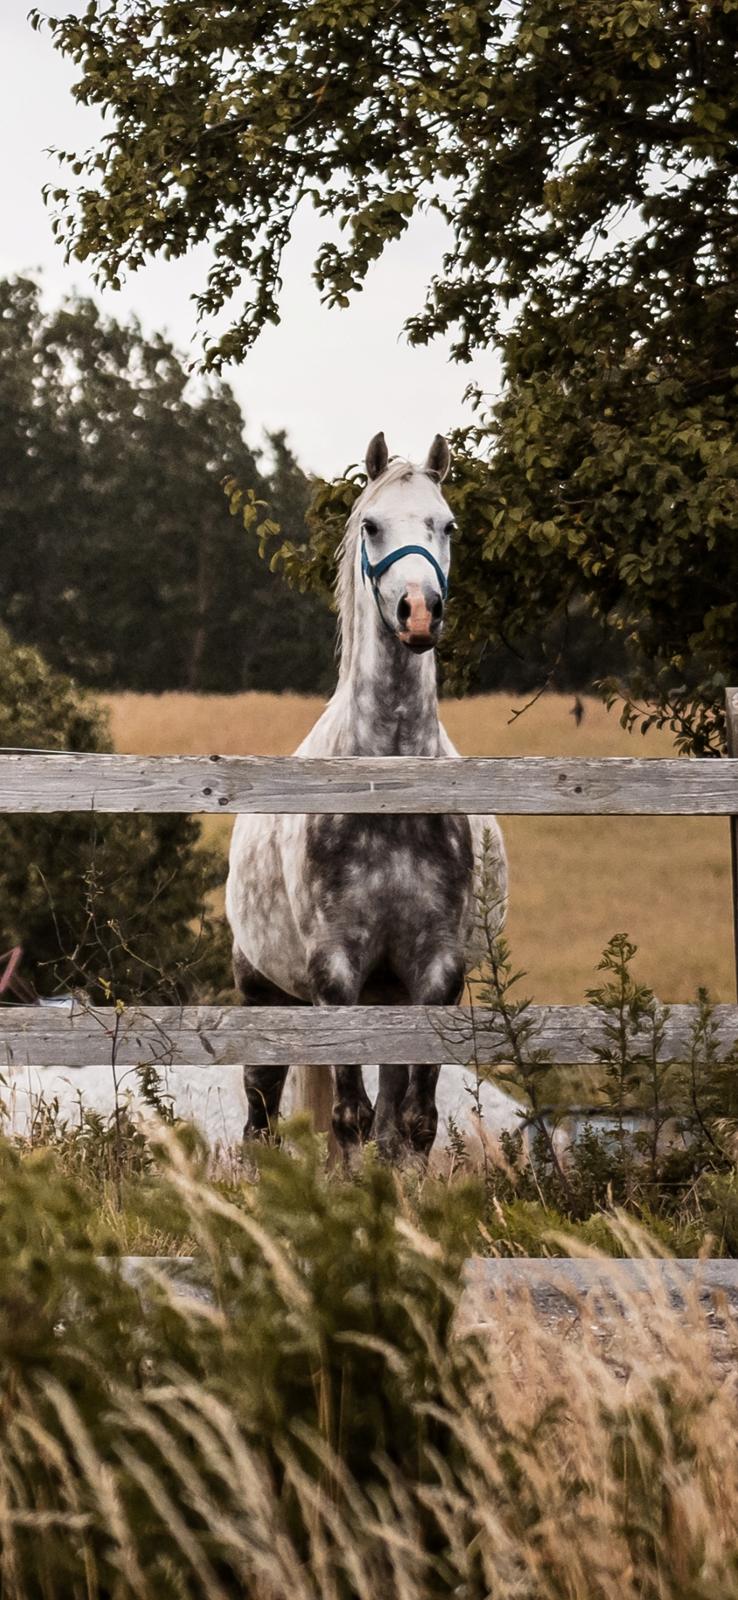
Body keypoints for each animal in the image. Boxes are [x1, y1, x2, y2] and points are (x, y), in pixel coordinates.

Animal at [225, 431, 507, 1160]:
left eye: (447, 525)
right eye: (372, 526)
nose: (419, 612)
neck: (390, 790)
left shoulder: (434, 971)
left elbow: (411, 1124)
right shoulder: (336, 971)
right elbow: (348, 1120)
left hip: (387, 994)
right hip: (265, 991)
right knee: (260, 1115)